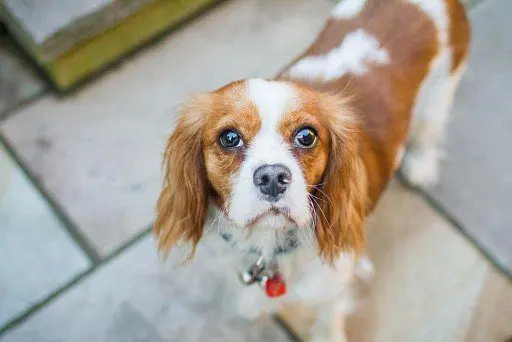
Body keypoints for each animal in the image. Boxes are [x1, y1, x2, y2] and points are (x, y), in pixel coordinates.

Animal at [154, 0, 470, 340]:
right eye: (229, 137)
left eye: (306, 136)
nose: (272, 178)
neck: (269, 244)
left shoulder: (330, 296)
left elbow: (327, 323)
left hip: (440, 94)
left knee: (429, 131)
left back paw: (421, 166)